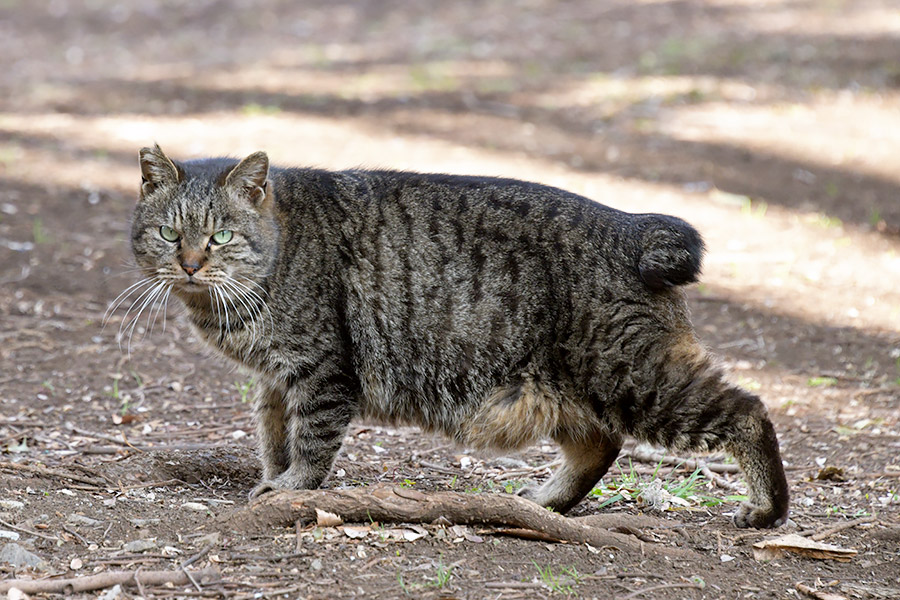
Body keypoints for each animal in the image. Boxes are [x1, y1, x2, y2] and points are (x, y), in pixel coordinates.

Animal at [125, 144, 788, 524]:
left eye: (219, 237)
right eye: (168, 233)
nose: (190, 264)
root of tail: (629, 225)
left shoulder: (319, 372)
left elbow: (310, 443)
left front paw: (290, 489)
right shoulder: (273, 381)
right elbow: (273, 435)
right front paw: (272, 478)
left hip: (635, 378)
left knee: (748, 410)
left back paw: (767, 508)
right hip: (562, 391)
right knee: (599, 446)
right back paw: (539, 504)